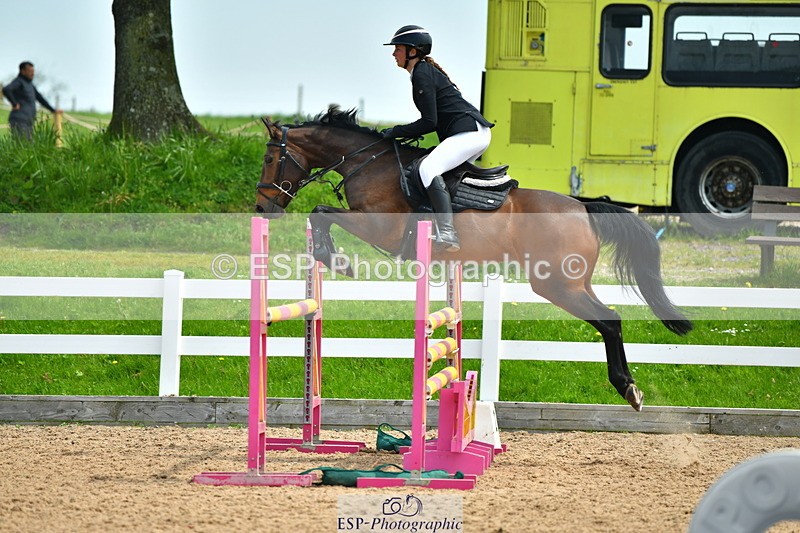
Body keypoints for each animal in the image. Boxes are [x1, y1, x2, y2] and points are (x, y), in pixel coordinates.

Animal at [255, 106, 693, 411]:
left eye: (270, 159)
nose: (263, 208)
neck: (368, 162)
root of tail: (583, 207)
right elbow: (322, 213)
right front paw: (332, 256)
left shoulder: (379, 227)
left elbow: (321, 211)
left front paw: (334, 258)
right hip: (573, 281)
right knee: (609, 317)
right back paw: (629, 387)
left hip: (555, 284)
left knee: (610, 320)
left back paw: (628, 388)